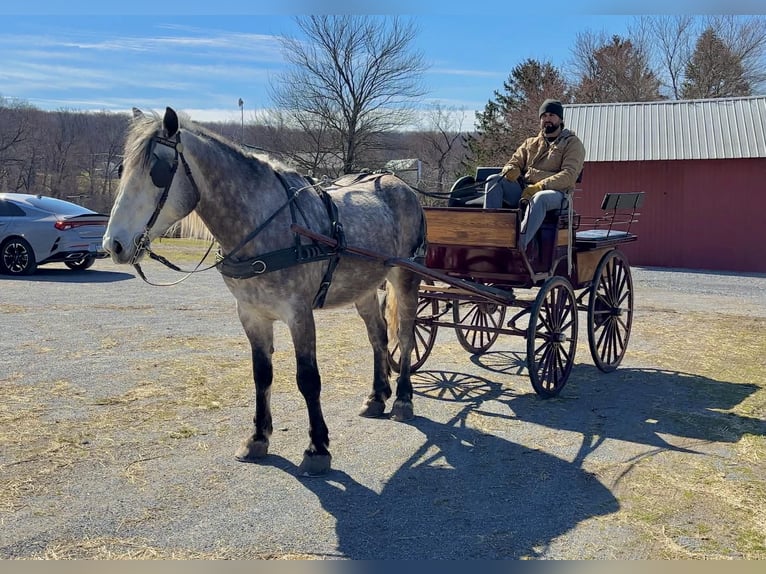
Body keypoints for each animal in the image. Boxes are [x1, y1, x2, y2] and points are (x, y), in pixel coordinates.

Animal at [103, 106, 426, 475]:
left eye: (157, 170)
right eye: (121, 170)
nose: (113, 245)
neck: (265, 225)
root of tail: (398, 183)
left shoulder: (299, 314)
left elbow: (308, 379)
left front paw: (317, 448)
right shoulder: (252, 315)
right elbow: (262, 375)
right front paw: (258, 438)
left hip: (406, 275)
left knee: (405, 336)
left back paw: (403, 399)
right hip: (364, 287)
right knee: (378, 337)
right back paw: (377, 396)